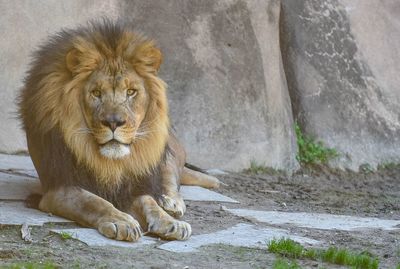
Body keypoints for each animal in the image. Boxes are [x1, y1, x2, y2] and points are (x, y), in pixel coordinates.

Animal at [18, 21, 219, 241]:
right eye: (96, 93)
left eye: (131, 92)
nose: (114, 122)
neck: (110, 163)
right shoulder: (58, 187)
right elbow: (94, 201)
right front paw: (121, 221)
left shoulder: (132, 182)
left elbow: (149, 201)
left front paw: (169, 221)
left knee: (170, 176)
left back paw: (170, 203)